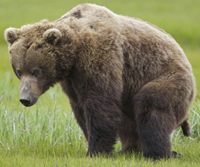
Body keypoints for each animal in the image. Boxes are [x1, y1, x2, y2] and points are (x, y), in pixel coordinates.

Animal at [4, 3, 195, 159]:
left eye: (36, 71)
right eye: (19, 71)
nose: (25, 99)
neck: (74, 51)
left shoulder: (98, 56)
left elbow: (100, 103)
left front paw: (96, 151)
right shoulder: (72, 79)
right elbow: (80, 107)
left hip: (169, 77)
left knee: (151, 106)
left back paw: (161, 154)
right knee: (128, 120)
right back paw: (128, 149)